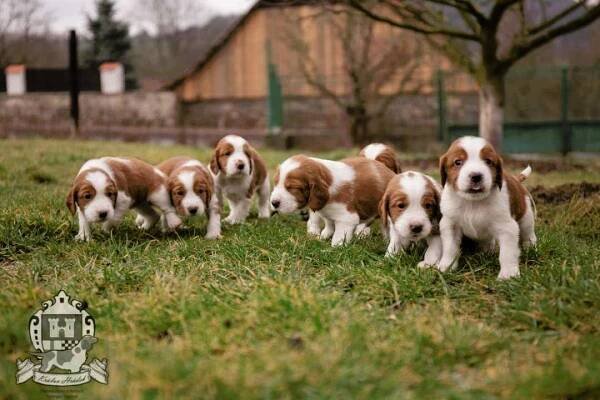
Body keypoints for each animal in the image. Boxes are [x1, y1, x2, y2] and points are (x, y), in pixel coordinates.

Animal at [436, 136, 536, 280]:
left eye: (488, 161)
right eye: (458, 162)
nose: (476, 176)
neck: (473, 202)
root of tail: (515, 179)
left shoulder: (507, 227)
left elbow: (507, 253)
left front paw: (508, 274)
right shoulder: (450, 224)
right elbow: (450, 248)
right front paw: (446, 267)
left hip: (526, 216)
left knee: (528, 234)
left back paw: (530, 247)